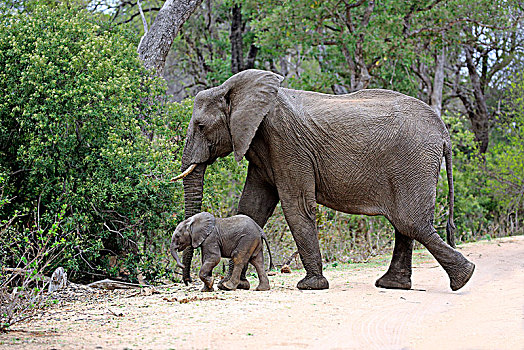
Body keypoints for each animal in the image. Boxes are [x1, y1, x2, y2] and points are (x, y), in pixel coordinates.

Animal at [175, 69, 474, 292]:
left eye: (201, 126)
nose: (186, 280)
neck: (238, 91)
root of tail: (444, 131)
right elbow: (252, 207)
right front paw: (235, 286)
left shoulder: (286, 143)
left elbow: (296, 207)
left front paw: (310, 286)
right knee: (405, 224)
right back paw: (394, 285)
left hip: (414, 161)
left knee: (411, 223)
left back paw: (463, 278)